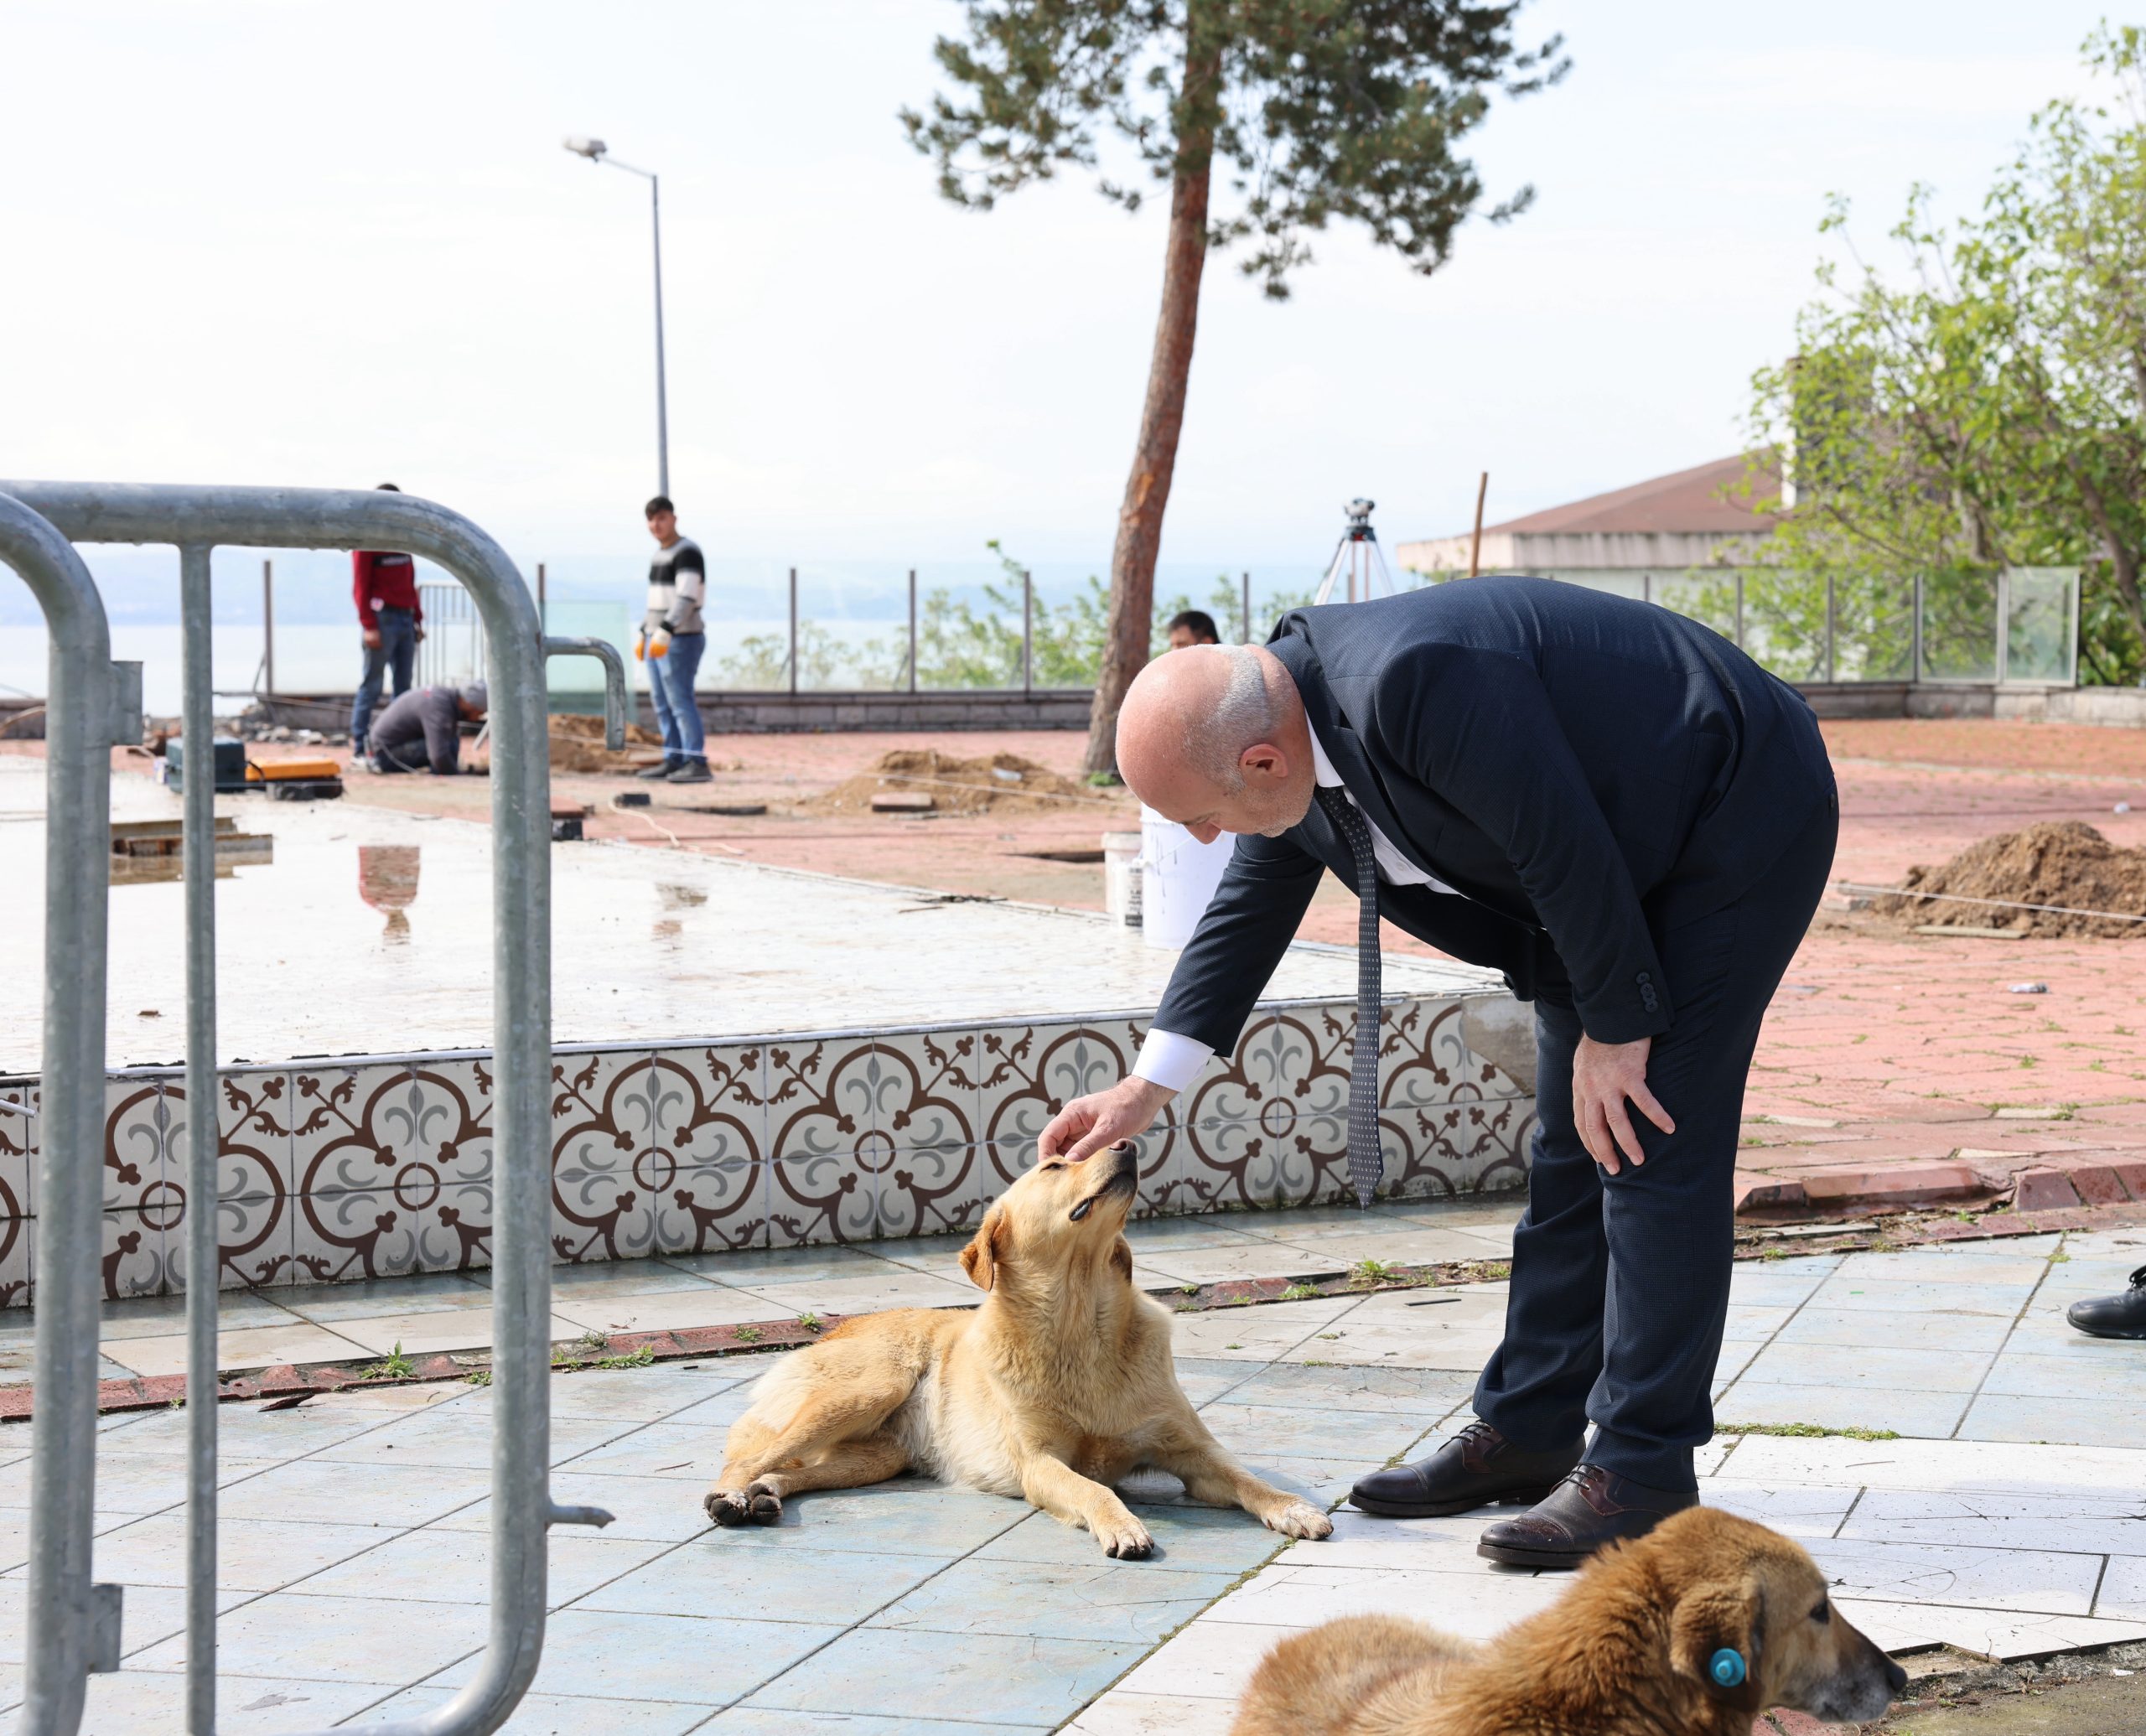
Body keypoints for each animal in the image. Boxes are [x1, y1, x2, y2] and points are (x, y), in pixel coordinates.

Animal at [703, 1141, 1330, 1553]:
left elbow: (1247, 1479)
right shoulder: (1039, 1463)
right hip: (870, 1388)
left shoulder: (1194, 1452)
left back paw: (766, 1496)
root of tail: (834, 1330)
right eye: (1055, 1165)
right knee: (746, 1458)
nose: (1128, 1141)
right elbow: (1091, 1488)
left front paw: (1295, 1509)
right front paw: (1122, 1524)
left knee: (786, 1469)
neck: (1080, 1325)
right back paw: (731, 1497)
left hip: (878, 1456)